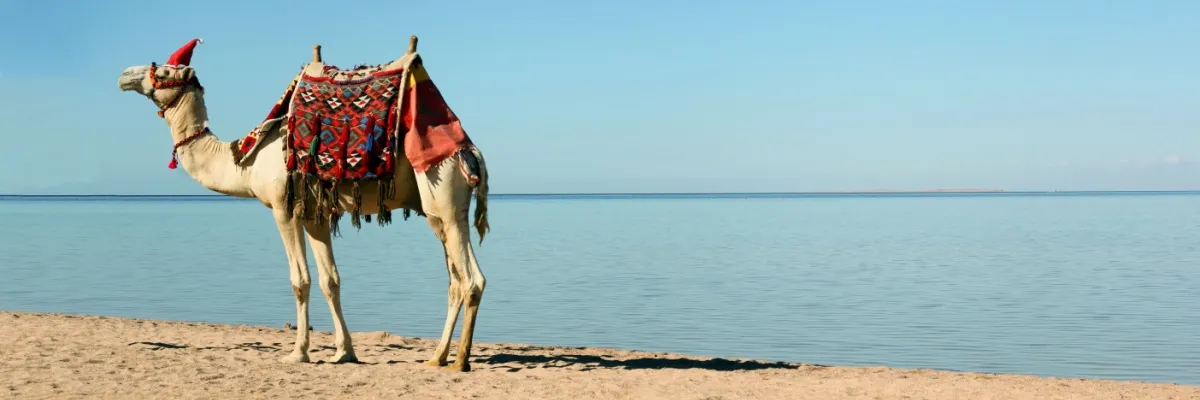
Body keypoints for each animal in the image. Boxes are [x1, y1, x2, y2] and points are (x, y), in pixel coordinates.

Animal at [116, 37, 490, 372]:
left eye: (165, 71)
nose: (124, 74)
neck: (245, 160)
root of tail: (471, 152)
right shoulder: (315, 215)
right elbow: (330, 280)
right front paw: (344, 352)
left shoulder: (284, 208)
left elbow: (300, 281)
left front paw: (298, 353)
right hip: (439, 213)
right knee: (456, 282)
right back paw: (437, 357)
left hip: (442, 194)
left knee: (471, 280)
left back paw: (460, 361)